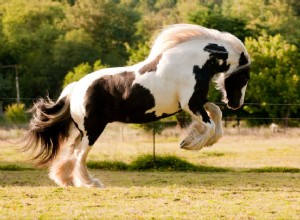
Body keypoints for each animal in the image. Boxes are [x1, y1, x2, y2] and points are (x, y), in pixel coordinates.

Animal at [22, 23, 251, 186]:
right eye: (244, 77)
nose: (235, 104)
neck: (191, 63)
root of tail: (76, 88)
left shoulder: (197, 102)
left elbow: (216, 115)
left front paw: (196, 140)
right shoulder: (190, 104)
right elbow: (210, 125)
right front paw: (189, 143)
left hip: (84, 130)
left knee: (72, 151)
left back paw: (66, 180)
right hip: (93, 129)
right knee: (80, 155)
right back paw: (90, 183)